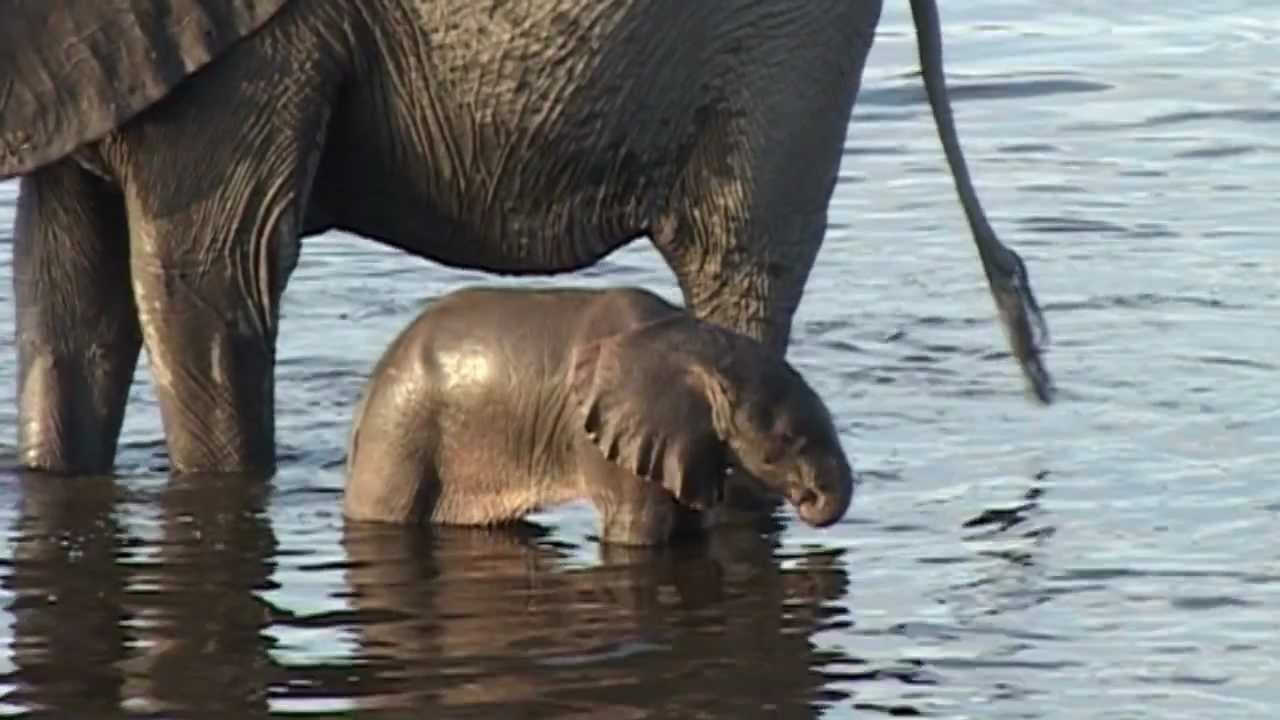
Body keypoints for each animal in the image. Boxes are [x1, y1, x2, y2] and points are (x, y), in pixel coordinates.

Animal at [343, 286, 856, 545]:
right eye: (782, 445)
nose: (810, 500)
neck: (696, 345)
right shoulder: (601, 437)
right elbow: (637, 532)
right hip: (399, 438)